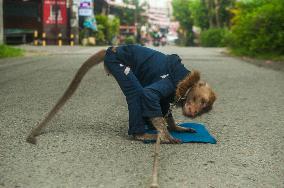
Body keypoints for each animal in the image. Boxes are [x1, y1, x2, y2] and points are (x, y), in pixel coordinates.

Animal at [27, 44, 216, 145]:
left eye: (203, 107)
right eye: (199, 100)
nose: (194, 110)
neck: (186, 83)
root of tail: (112, 48)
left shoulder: (171, 94)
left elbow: (163, 107)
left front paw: (176, 127)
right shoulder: (171, 82)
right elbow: (149, 95)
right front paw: (166, 135)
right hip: (116, 63)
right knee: (135, 93)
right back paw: (141, 134)